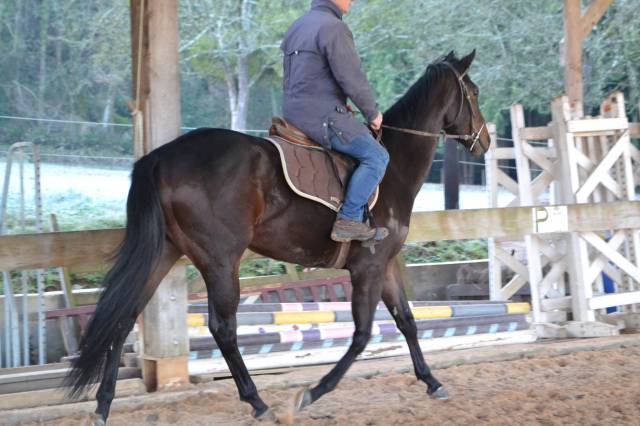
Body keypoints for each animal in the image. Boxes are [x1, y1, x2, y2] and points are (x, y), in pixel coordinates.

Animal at [65, 50, 490, 424]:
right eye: (473, 91)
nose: (485, 141)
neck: (393, 166)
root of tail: (161, 157)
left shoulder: (383, 266)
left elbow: (407, 321)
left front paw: (432, 381)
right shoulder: (368, 267)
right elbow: (362, 335)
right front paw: (312, 393)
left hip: (164, 254)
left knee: (123, 318)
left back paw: (103, 406)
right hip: (220, 260)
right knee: (223, 329)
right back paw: (258, 403)